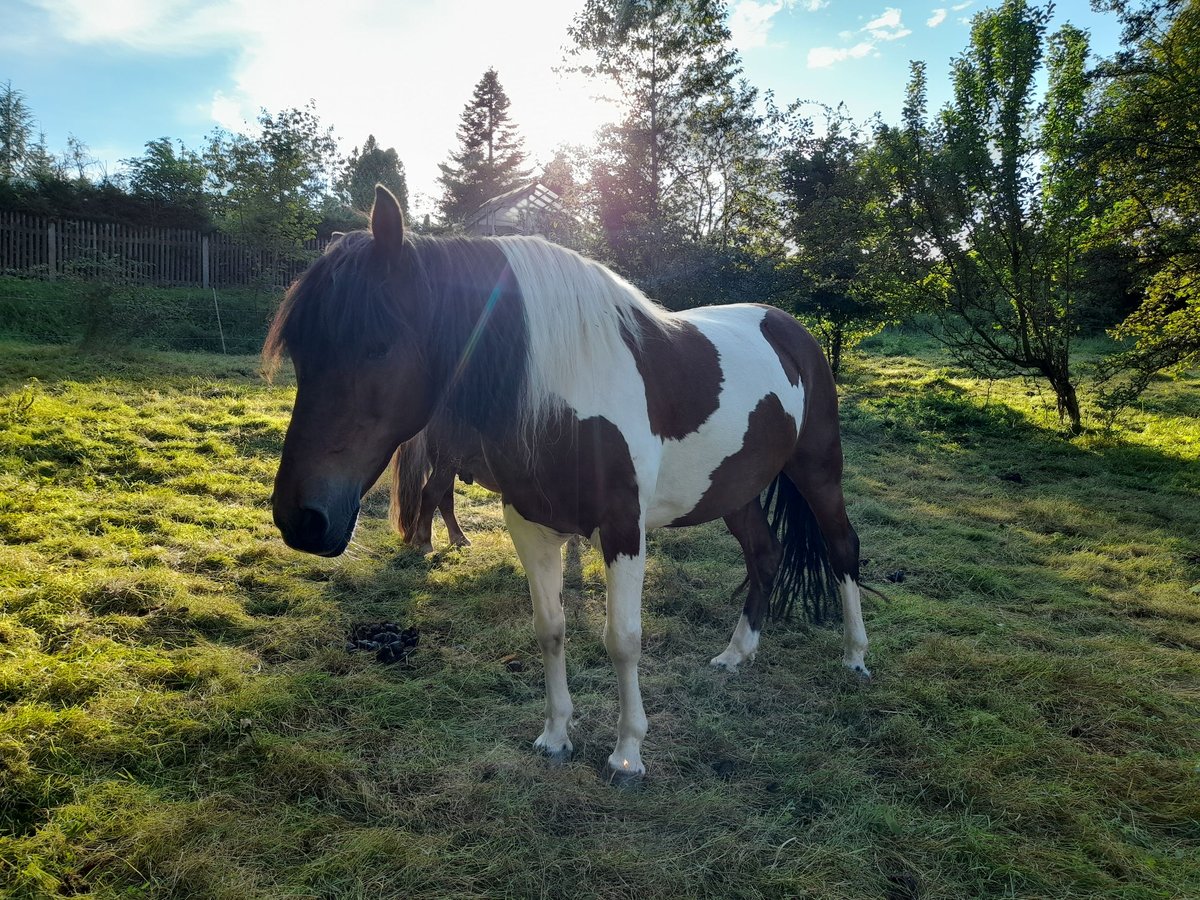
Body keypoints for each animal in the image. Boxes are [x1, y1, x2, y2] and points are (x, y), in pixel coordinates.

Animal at [267, 184, 873, 782]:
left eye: (377, 344)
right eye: (298, 351)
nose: (300, 518)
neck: (565, 390)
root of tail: (788, 327)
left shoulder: (624, 529)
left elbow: (622, 639)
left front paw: (628, 752)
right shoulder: (530, 525)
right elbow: (550, 628)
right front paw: (556, 736)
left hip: (818, 469)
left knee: (842, 547)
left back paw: (855, 656)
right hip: (733, 488)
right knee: (765, 553)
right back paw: (736, 654)